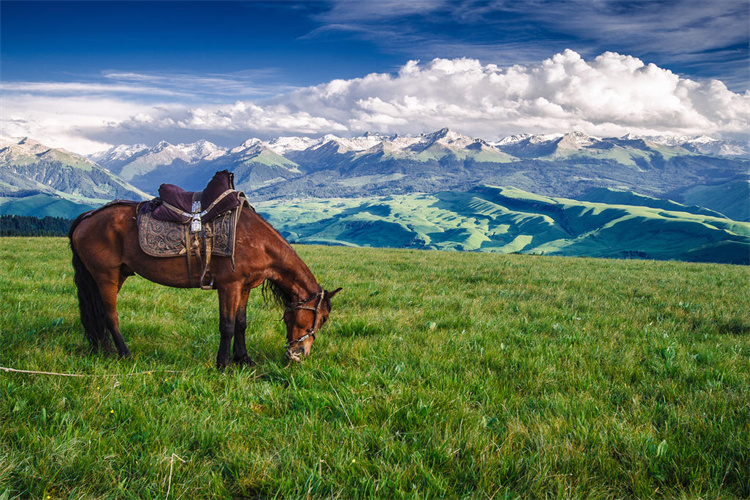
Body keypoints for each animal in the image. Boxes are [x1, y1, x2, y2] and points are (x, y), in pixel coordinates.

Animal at [67, 199, 344, 368]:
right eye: (323, 318)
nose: (299, 354)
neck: (257, 241)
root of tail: (87, 216)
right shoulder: (229, 286)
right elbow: (227, 326)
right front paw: (223, 364)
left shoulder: (244, 288)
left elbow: (241, 324)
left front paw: (244, 359)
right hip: (106, 275)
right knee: (110, 316)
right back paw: (125, 354)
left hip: (116, 276)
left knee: (99, 315)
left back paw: (105, 350)